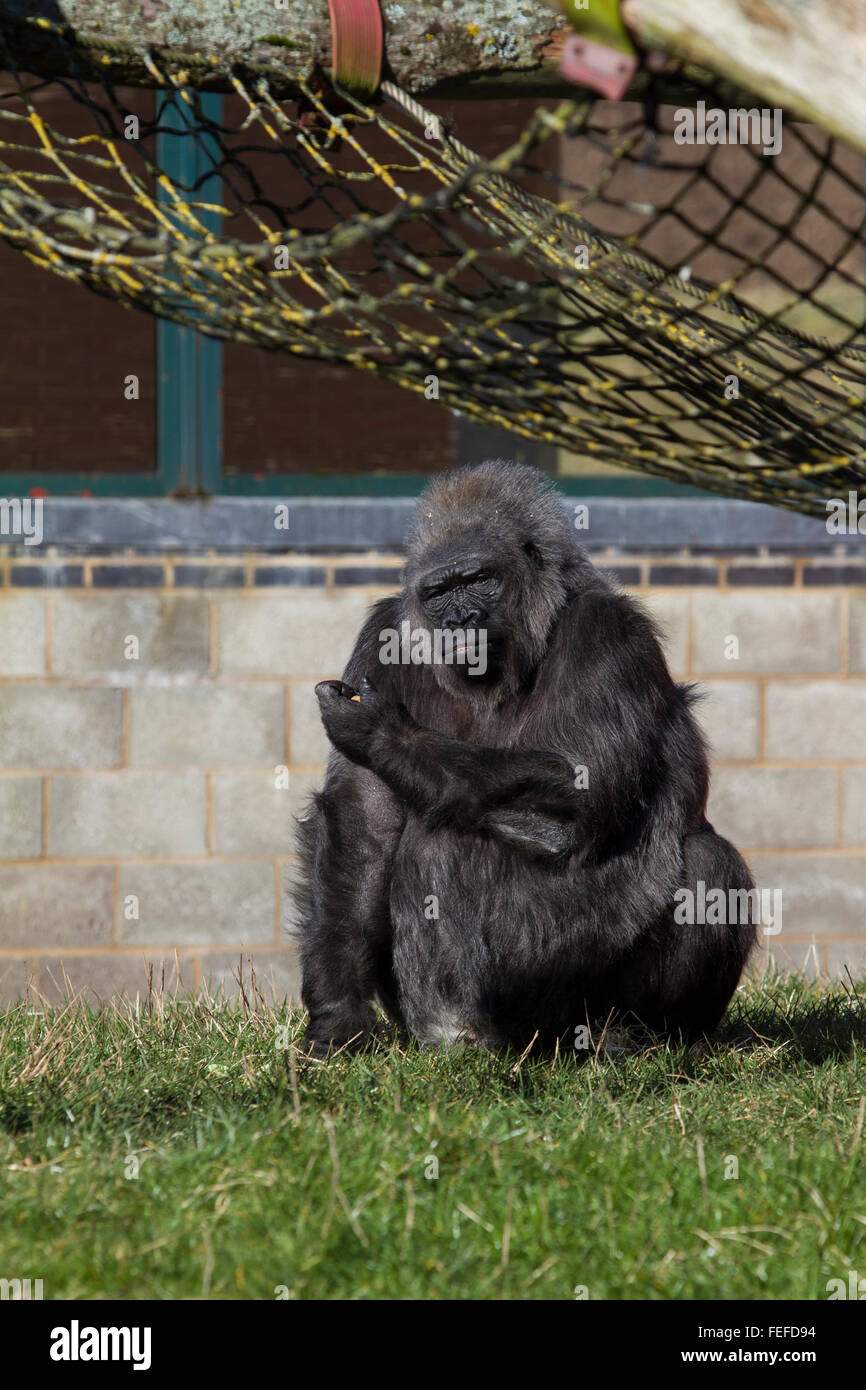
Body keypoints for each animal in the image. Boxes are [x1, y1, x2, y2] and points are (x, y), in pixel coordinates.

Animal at [294, 461, 756, 1056]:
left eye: (479, 579)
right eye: (439, 593)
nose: (461, 620)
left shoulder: (607, 633)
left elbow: (581, 789)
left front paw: (384, 736)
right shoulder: (381, 639)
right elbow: (363, 824)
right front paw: (337, 1014)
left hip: (572, 1020)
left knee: (709, 869)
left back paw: (657, 1035)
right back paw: (455, 1032)